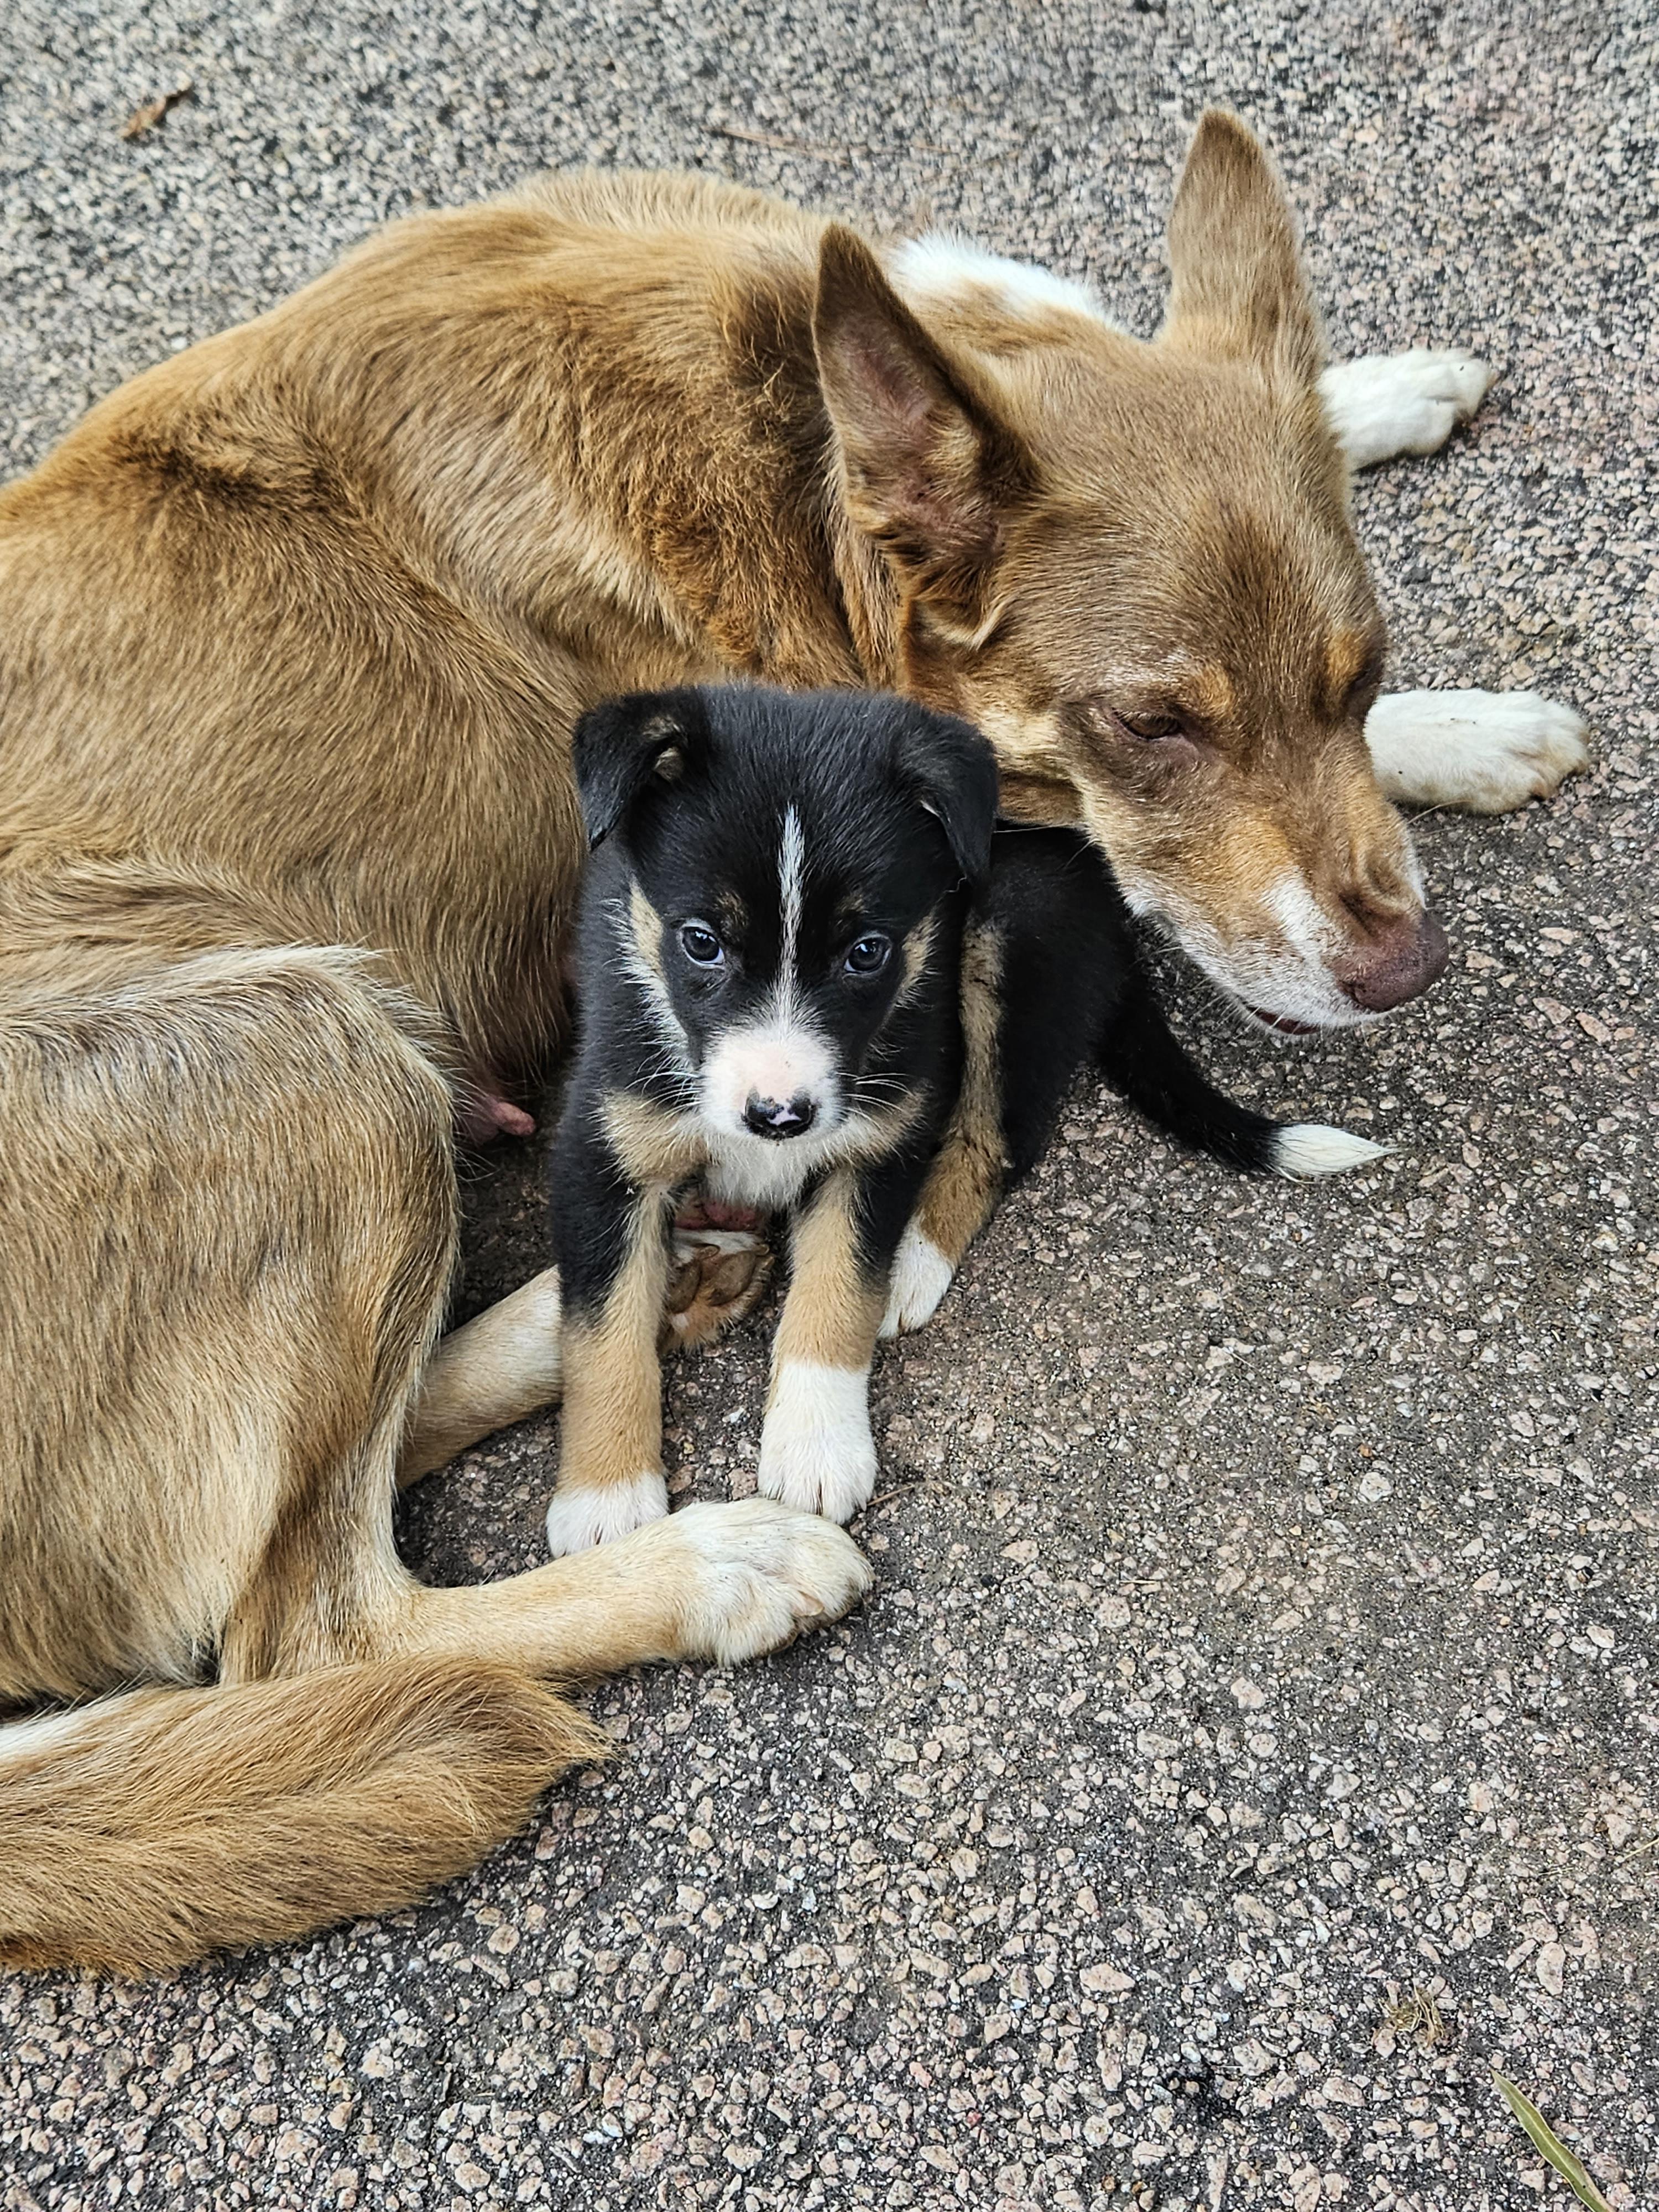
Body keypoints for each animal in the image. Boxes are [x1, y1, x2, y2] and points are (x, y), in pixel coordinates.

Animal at [546, 684, 1388, 1543]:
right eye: (700, 942)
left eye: (868, 952)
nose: (780, 1116)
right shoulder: (605, 1149)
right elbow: (604, 1329)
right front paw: (610, 1501)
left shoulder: (878, 1136)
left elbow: (840, 1286)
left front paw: (817, 1445)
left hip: (1014, 930)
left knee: (996, 1140)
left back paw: (914, 1261)